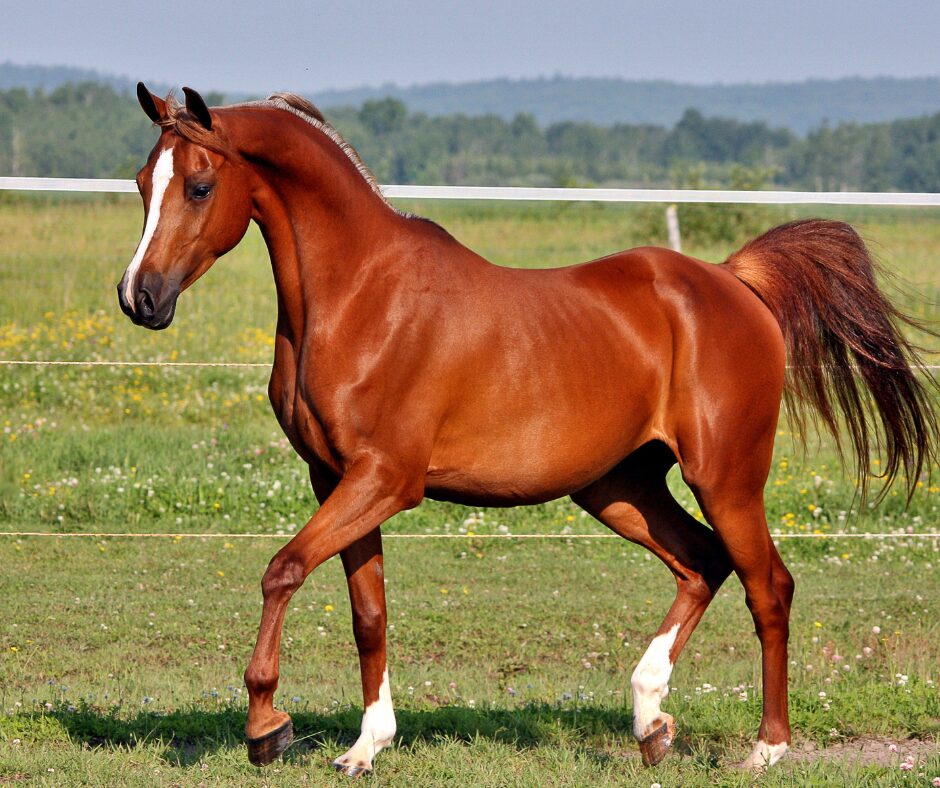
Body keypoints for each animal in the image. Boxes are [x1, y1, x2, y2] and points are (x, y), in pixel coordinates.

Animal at [117, 83, 938, 775]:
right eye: (141, 183)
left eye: (199, 185)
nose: (139, 298)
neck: (359, 296)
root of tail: (734, 281)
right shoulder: (338, 480)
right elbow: (368, 614)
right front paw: (365, 747)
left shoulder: (385, 480)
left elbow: (282, 570)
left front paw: (266, 727)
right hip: (618, 487)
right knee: (701, 562)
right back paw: (650, 721)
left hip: (727, 478)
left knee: (768, 586)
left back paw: (767, 749)